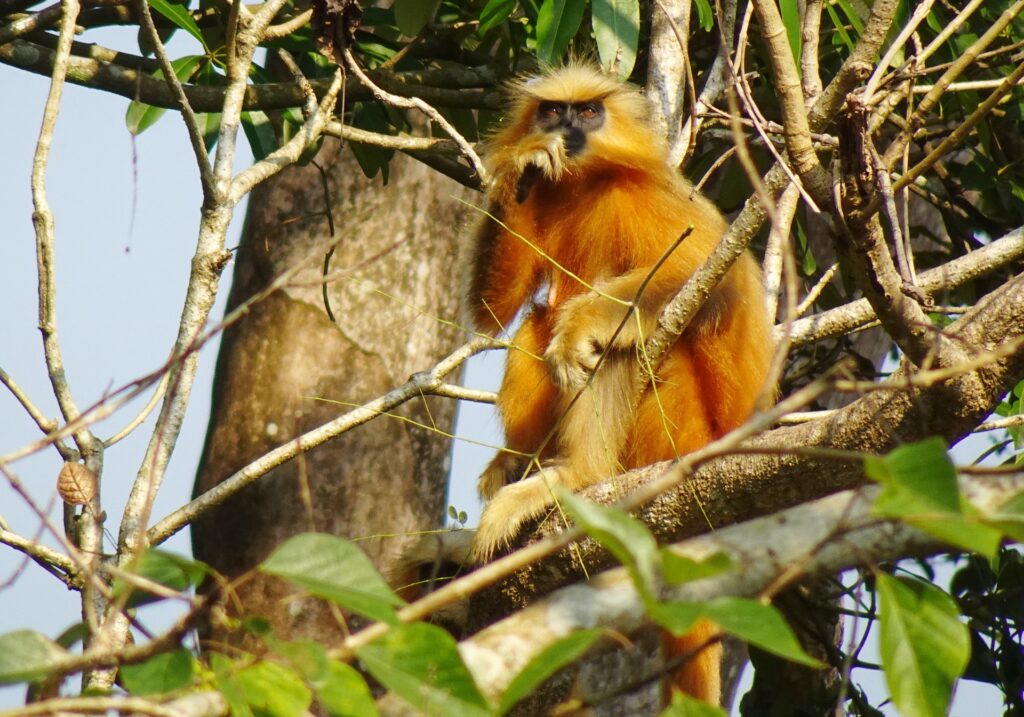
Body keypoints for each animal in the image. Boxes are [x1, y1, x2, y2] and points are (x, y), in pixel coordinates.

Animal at [463, 63, 775, 705]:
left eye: (589, 112)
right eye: (554, 112)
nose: (568, 132)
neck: (588, 182)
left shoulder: (652, 198)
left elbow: (711, 279)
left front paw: (582, 328)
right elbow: (493, 310)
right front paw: (527, 163)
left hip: (679, 432)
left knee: (617, 342)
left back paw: (577, 476)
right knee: (539, 316)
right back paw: (521, 461)